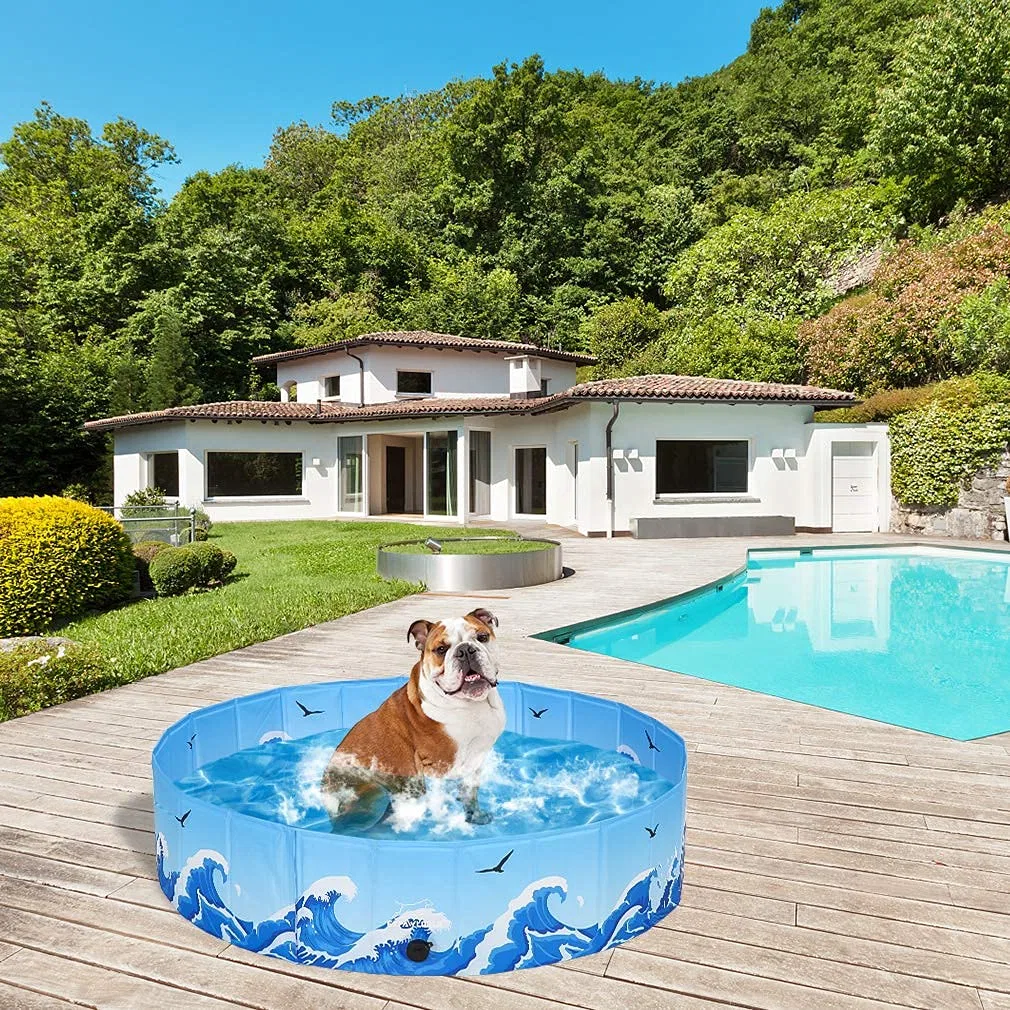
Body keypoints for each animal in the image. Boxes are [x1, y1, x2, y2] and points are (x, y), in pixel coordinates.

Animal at [321, 610, 505, 832]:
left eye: (482, 637)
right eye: (441, 649)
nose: (465, 650)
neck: (471, 705)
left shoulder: (475, 761)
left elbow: (470, 793)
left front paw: (475, 815)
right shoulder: (437, 766)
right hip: (375, 793)